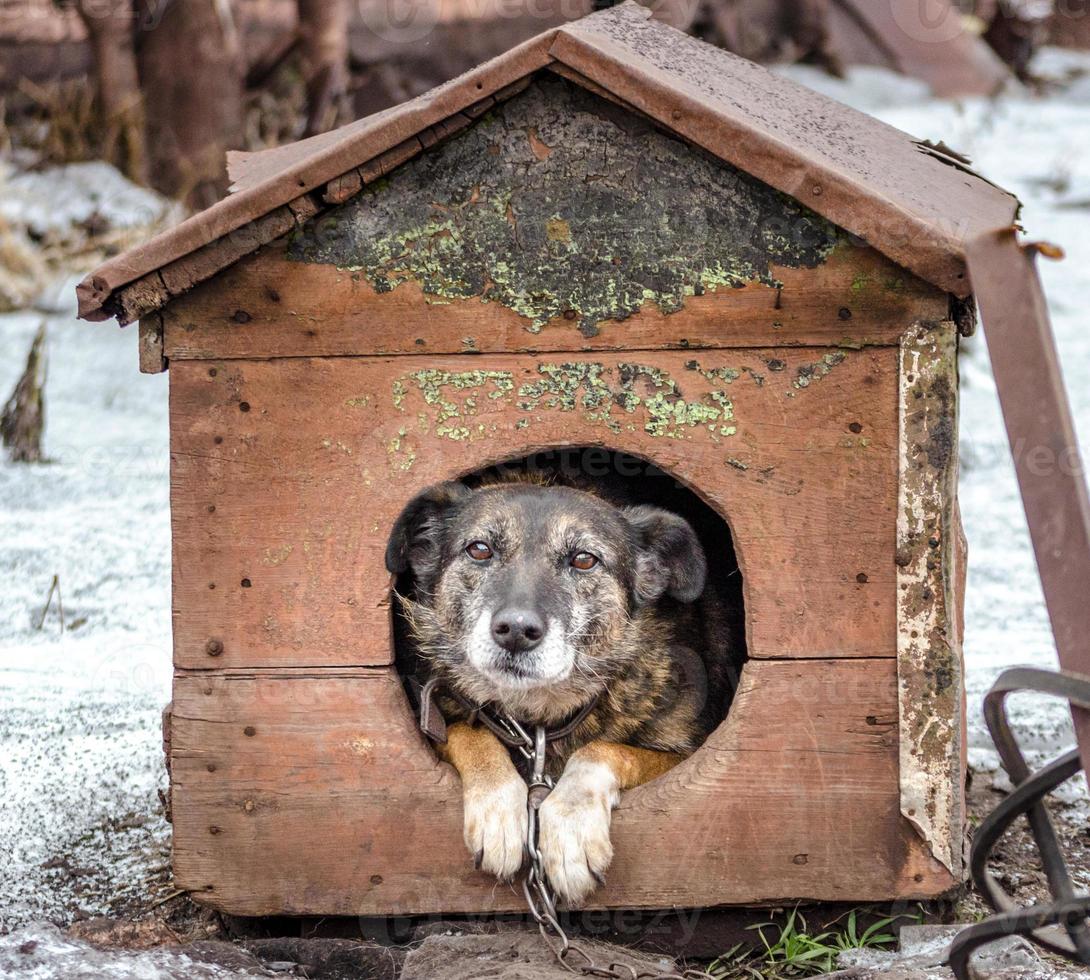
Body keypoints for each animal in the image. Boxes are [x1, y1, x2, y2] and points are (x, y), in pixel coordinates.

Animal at [383, 477, 732, 902]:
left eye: (583, 560)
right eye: (479, 549)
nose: (516, 631)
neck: (538, 717)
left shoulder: (685, 757)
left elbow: (602, 750)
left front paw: (571, 831)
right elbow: (470, 731)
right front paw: (499, 811)